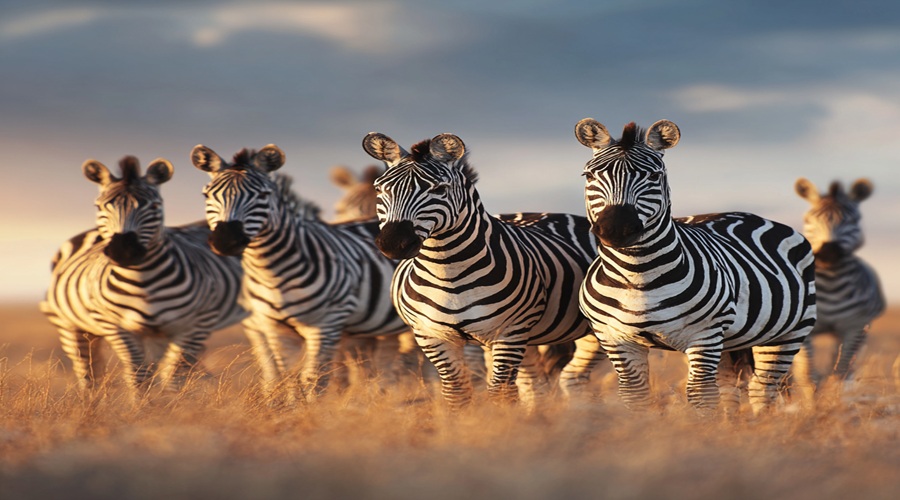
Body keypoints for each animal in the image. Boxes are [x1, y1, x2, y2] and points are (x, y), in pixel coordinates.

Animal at [41, 156, 247, 394]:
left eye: (155, 206)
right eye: (99, 206)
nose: (123, 250)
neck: (144, 281)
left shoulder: (193, 325)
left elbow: (174, 376)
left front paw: (171, 403)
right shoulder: (116, 327)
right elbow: (138, 374)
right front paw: (144, 404)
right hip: (69, 326)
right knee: (89, 375)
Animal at [191, 144, 409, 398]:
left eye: (262, 196)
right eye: (207, 195)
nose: (225, 241)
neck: (272, 272)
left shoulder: (328, 323)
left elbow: (314, 379)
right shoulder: (273, 329)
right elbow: (286, 378)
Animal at [362, 132, 606, 409]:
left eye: (439, 189)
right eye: (380, 189)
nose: (393, 242)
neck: (447, 272)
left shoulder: (508, 332)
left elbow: (498, 393)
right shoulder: (430, 335)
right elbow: (457, 392)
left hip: (591, 330)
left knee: (572, 377)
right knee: (534, 384)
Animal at [574, 118, 817, 415]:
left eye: (653, 176)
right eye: (589, 176)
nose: (615, 229)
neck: (637, 276)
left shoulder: (704, 335)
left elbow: (700, 395)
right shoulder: (614, 338)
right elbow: (636, 395)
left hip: (788, 333)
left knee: (762, 389)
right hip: (731, 340)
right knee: (730, 387)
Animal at [792, 177, 884, 388]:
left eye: (852, 221)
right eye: (809, 220)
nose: (829, 251)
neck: (831, 285)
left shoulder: (855, 326)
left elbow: (839, 373)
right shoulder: (804, 329)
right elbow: (809, 375)